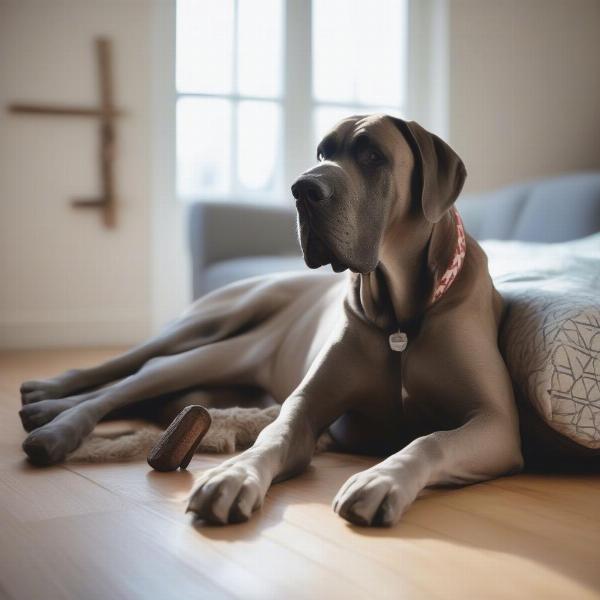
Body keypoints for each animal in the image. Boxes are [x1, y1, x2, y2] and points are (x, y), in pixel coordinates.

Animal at [18, 116, 524, 524]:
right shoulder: (305, 407)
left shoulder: (496, 423)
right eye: (322, 153)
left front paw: (379, 480)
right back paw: (50, 412)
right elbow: (273, 434)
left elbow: (432, 440)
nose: (303, 189)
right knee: (127, 372)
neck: (398, 317)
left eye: (372, 156)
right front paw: (234, 474)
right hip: (214, 330)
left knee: (139, 389)